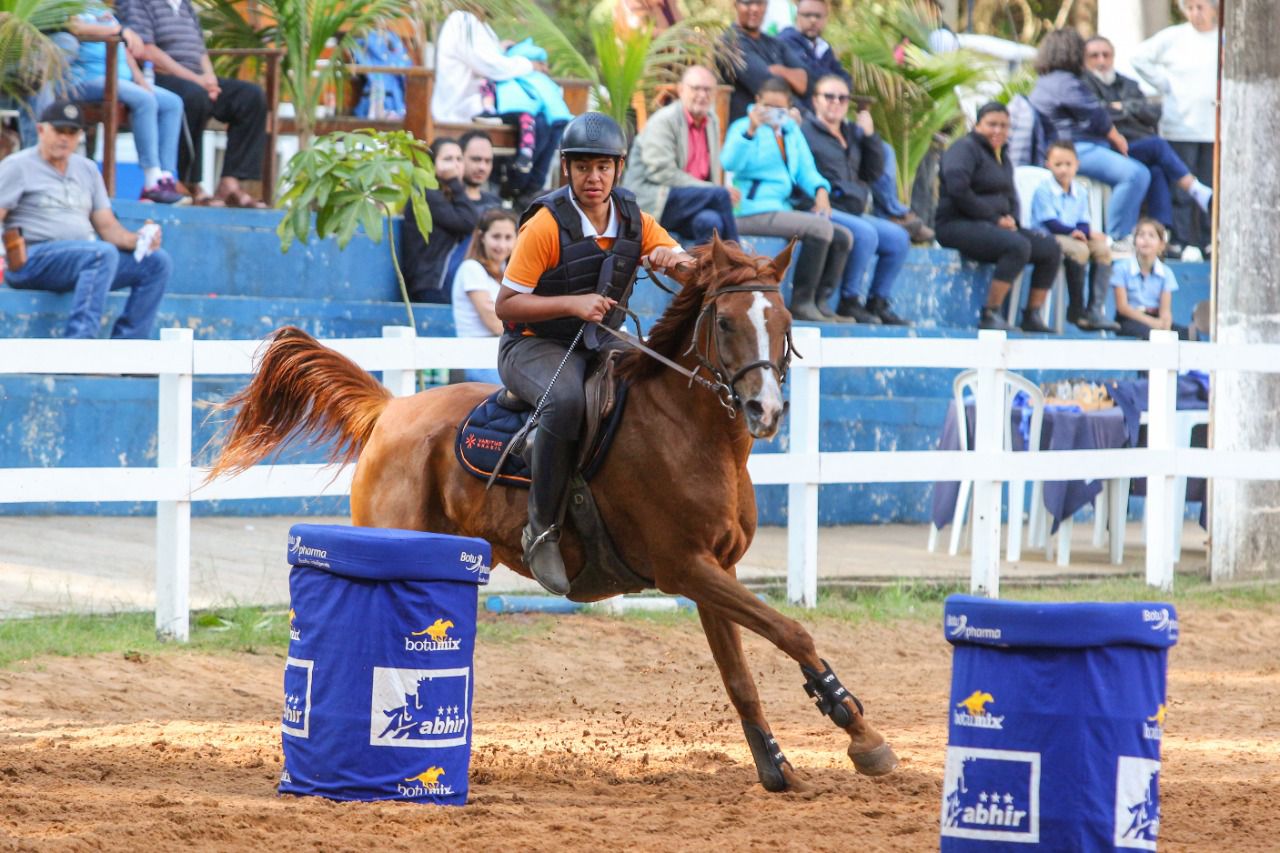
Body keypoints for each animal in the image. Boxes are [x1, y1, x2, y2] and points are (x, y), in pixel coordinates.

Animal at [209, 234, 896, 788]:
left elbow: (741, 676)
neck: (690, 432)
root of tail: (392, 409)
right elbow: (791, 630)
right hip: (390, 538)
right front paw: (860, 733)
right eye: (724, 322)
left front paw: (777, 765)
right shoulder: (685, 568)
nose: (765, 410)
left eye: (783, 320)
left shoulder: (713, 574)